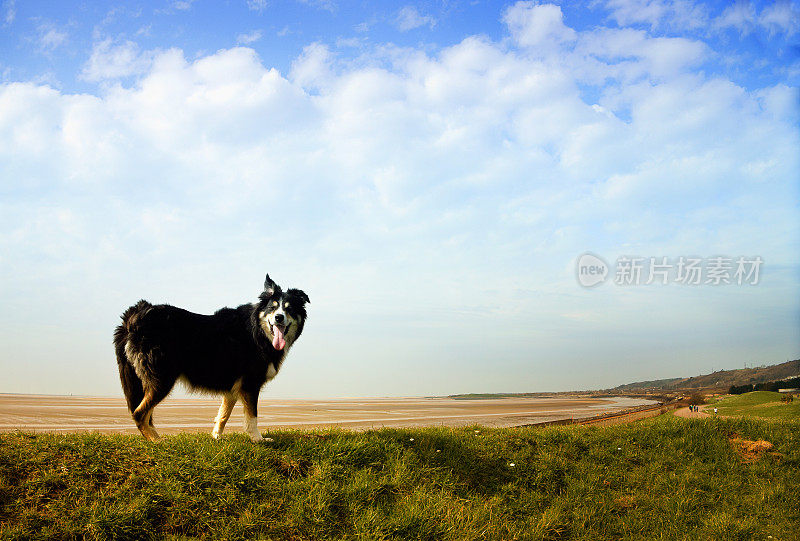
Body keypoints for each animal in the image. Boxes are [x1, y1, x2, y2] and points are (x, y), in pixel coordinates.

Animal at [114, 272, 308, 440]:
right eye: (272, 308)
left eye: (289, 309)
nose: (279, 318)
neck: (259, 332)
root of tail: (135, 315)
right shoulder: (250, 384)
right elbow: (252, 416)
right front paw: (258, 439)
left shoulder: (233, 386)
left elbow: (223, 414)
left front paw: (216, 436)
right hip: (162, 379)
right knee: (139, 414)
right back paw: (157, 441)